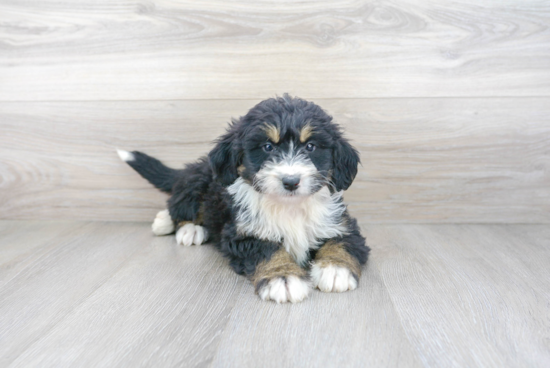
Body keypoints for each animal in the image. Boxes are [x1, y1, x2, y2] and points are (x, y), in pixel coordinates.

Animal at [119, 94, 374, 302]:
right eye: (268, 147)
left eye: (310, 147)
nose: (291, 181)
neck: (289, 207)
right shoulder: (242, 234)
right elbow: (267, 249)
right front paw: (283, 277)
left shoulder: (340, 222)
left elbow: (342, 242)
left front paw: (335, 269)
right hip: (198, 180)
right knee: (179, 204)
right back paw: (182, 227)